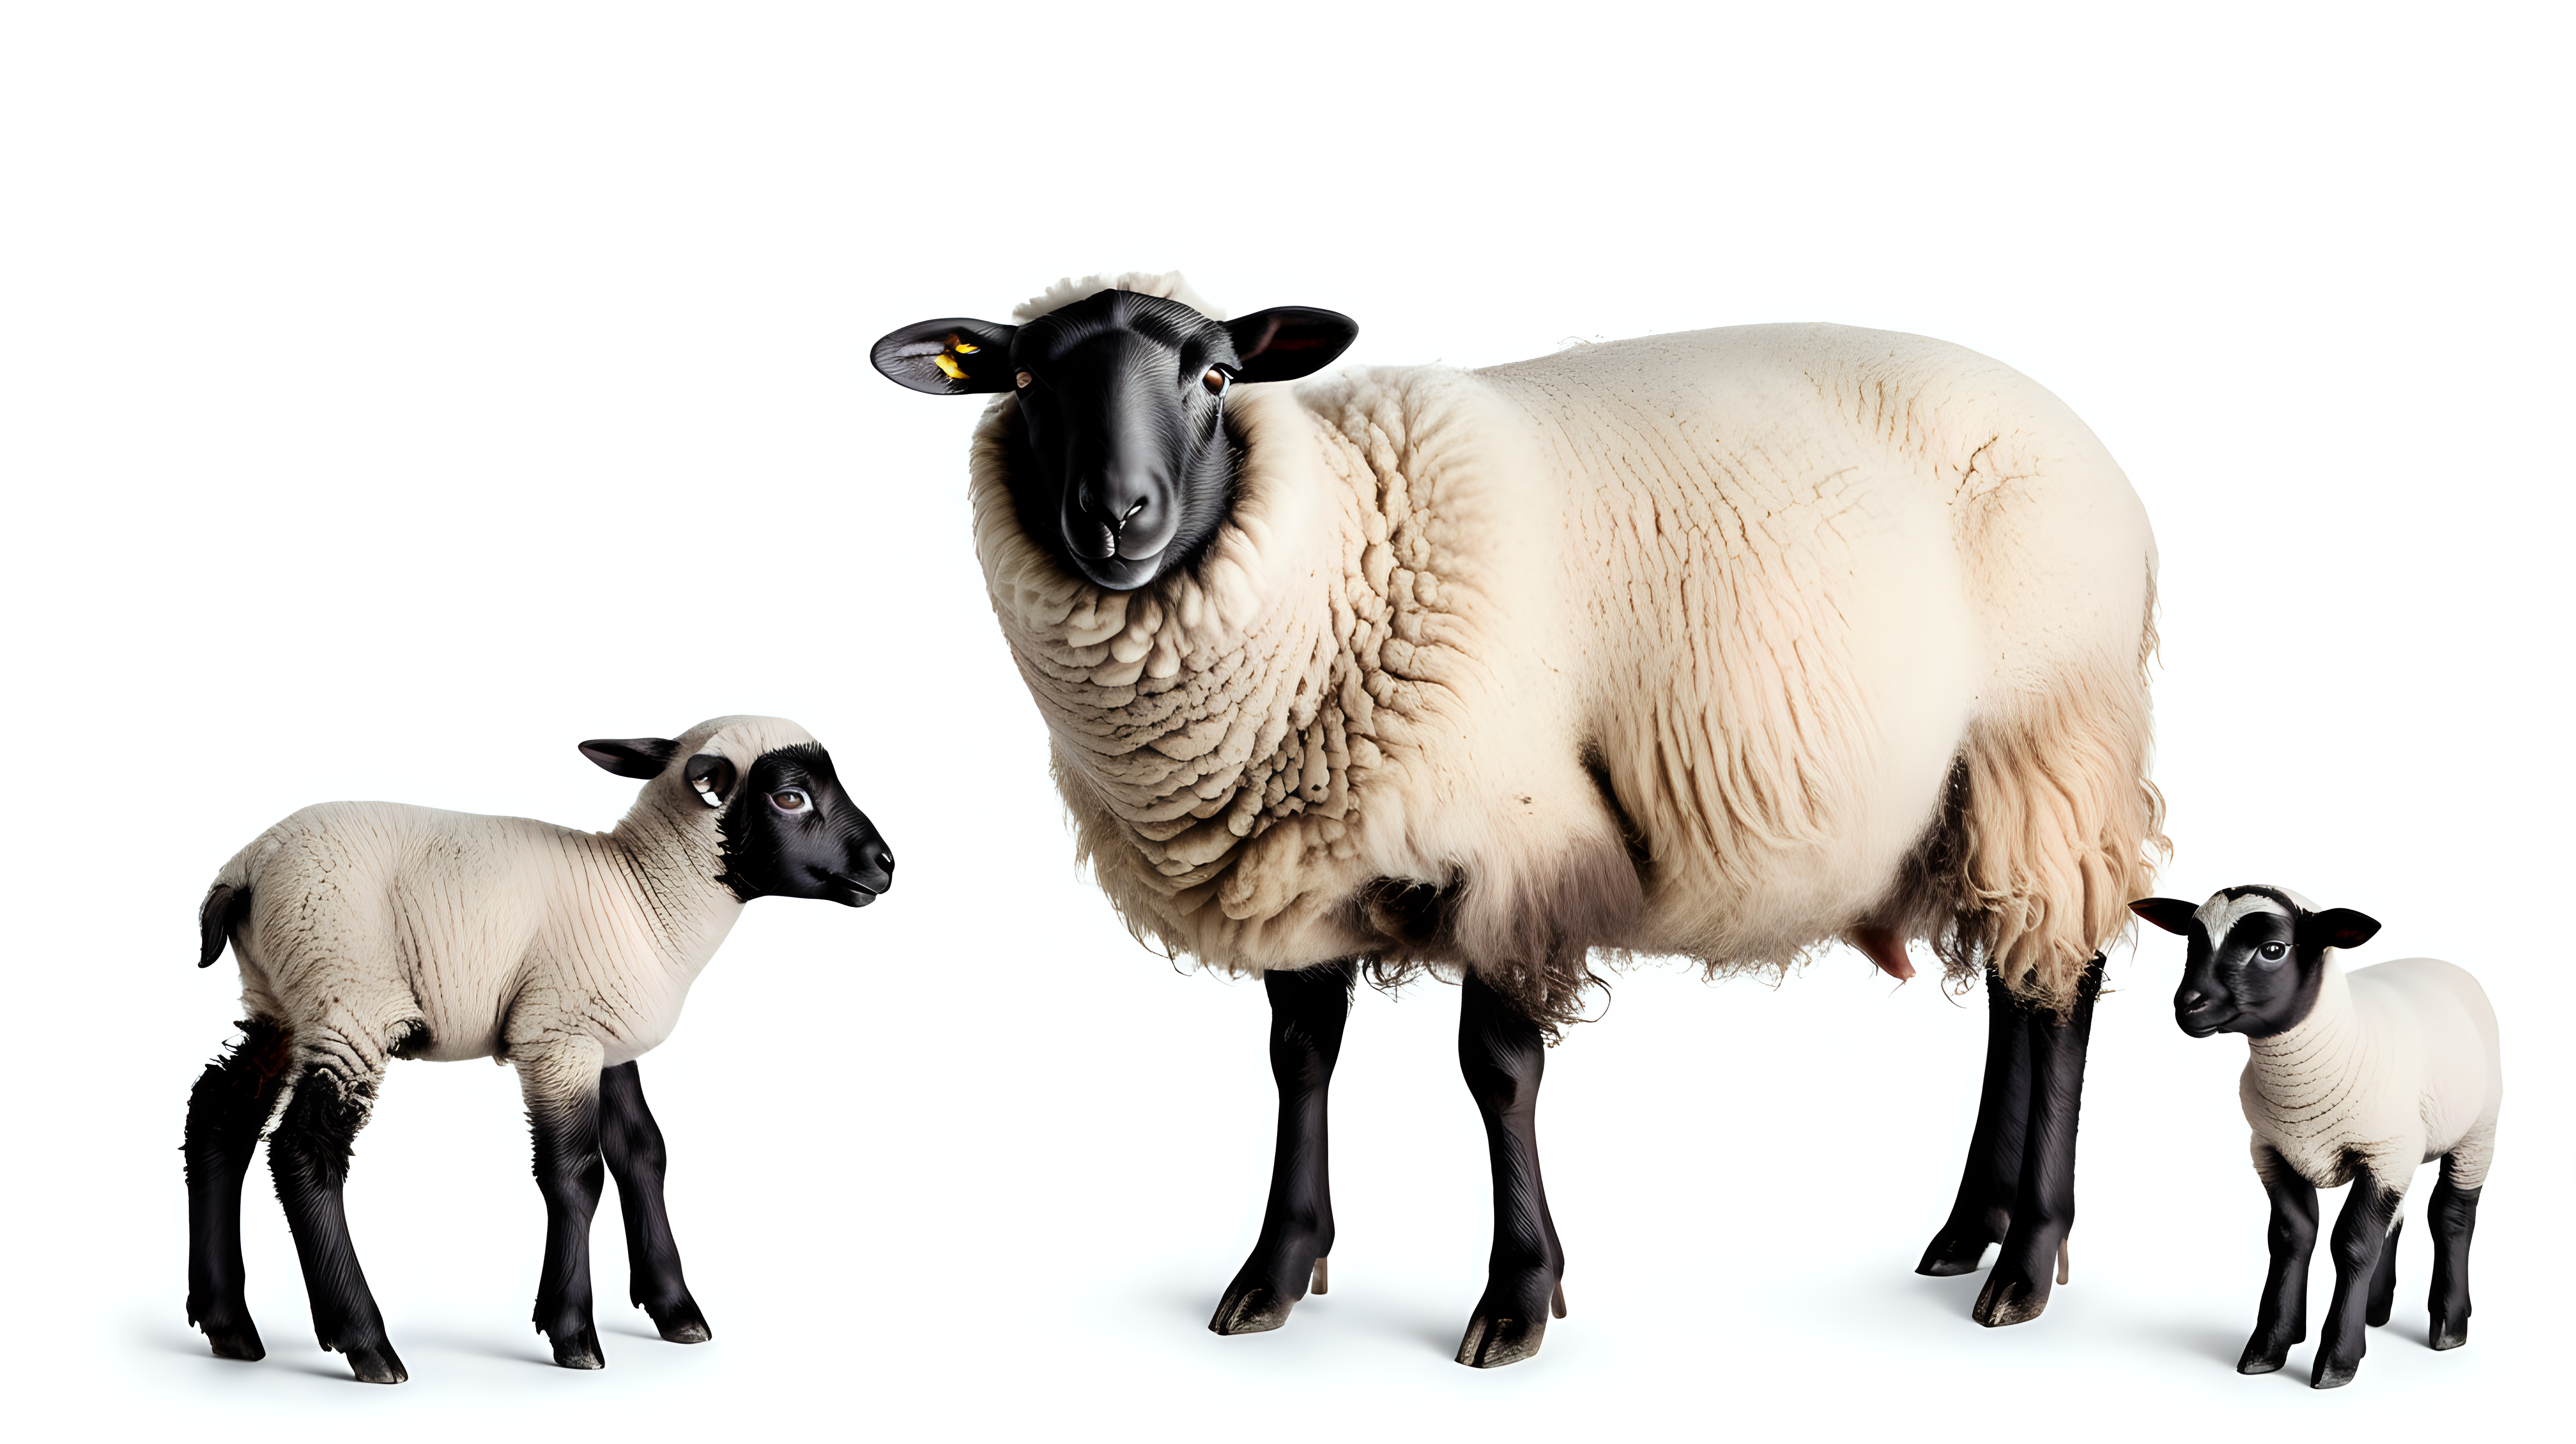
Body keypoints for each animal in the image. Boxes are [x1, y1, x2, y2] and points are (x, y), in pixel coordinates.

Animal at [179, 717, 886, 1382]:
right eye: (791, 797)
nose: (886, 864)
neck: (646, 895)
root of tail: (247, 866)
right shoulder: (556, 1037)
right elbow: (576, 1174)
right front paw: (573, 1332)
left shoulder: (606, 1042)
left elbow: (643, 1153)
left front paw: (675, 1309)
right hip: (348, 997)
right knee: (303, 1148)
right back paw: (365, 1342)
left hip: (280, 1003)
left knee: (218, 1114)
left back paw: (228, 1325)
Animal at [876, 271, 2164, 1361]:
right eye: (1027, 384)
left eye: (1216, 376)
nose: (1119, 517)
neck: (1337, 559)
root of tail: (2091, 445)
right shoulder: (1299, 857)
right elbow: (1300, 1060)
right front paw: (1276, 1274)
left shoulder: (1513, 842)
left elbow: (1497, 1073)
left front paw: (1517, 1299)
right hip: (1979, 791)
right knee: (2015, 983)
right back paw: (1969, 1231)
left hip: (2052, 741)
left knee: (2065, 986)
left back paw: (2028, 1261)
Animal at [2122, 887, 2503, 1392]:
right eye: (2191, 942)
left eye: (2272, 949)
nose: (2188, 1005)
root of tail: (2439, 964)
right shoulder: (2272, 1151)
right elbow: (2291, 1238)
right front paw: (2269, 1345)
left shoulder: (2381, 1157)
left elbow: (2353, 1245)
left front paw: (2337, 1360)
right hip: (2404, 1149)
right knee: (2397, 1222)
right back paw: (2376, 1312)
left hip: (2476, 1133)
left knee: (2452, 1217)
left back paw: (2448, 1325)